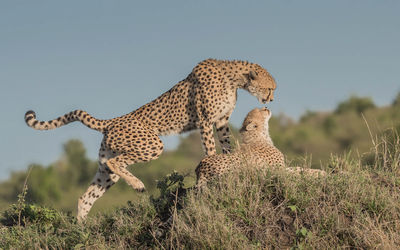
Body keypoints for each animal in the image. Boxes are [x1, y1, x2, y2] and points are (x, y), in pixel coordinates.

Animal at [23, 57, 276, 220]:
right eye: (270, 88)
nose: (271, 100)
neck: (232, 76)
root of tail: (112, 120)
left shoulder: (221, 120)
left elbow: (226, 145)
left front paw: (229, 164)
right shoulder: (205, 121)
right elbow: (211, 150)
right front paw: (213, 167)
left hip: (108, 169)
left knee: (87, 194)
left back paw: (81, 230)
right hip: (152, 144)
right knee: (114, 163)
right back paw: (138, 185)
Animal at [196, 106, 324, 187]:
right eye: (259, 110)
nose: (266, 107)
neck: (260, 135)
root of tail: (200, 169)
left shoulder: (280, 168)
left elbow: (296, 169)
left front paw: (318, 172)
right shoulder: (278, 171)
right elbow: (297, 171)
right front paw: (320, 173)